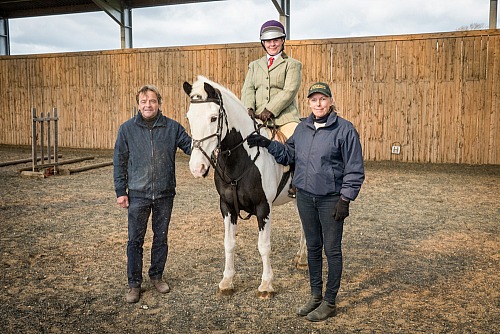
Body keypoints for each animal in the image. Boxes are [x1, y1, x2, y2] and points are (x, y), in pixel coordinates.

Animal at [184, 75, 306, 298]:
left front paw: (266, 285)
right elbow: (229, 243)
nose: (197, 168)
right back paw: (302, 258)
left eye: (213, 118)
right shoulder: (227, 208)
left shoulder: (263, 208)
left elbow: (264, 246)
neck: (242, 158)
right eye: (189, 118)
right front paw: (226, 281)